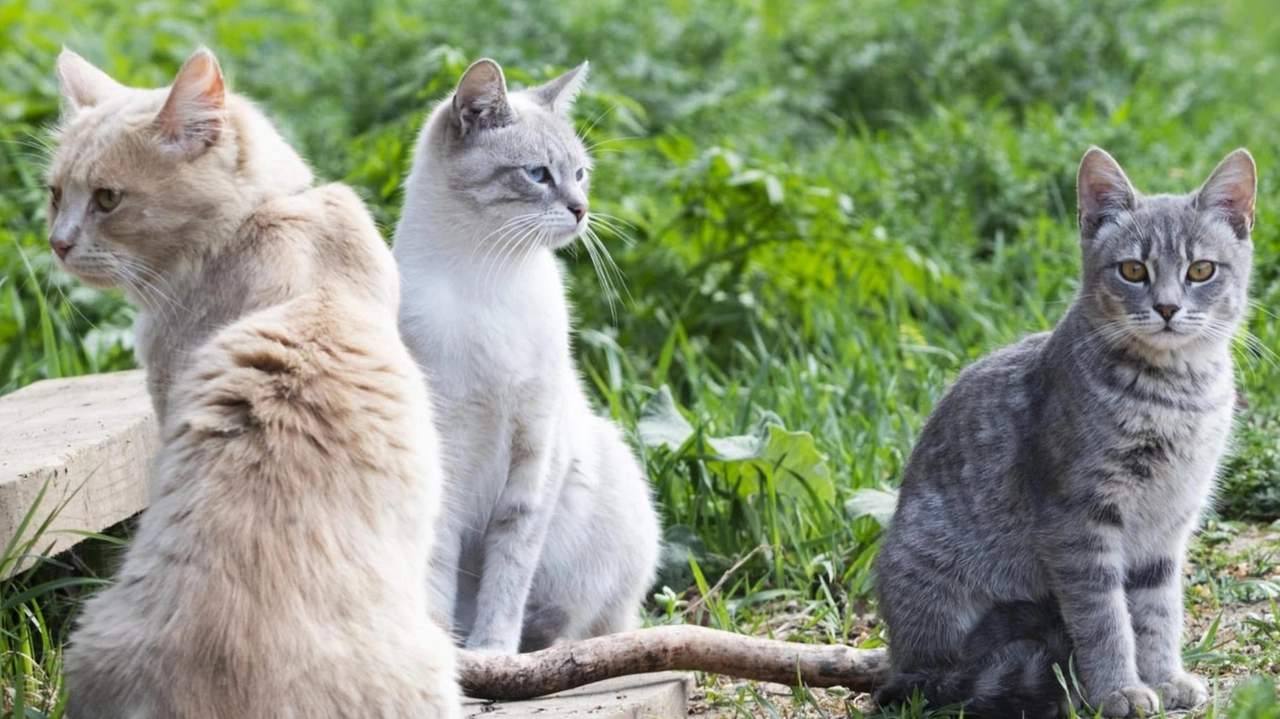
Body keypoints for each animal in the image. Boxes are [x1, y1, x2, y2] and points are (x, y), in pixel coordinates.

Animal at [391, 57, 660, 649]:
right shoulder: (446, 450)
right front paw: (453, 652)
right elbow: (440, 567)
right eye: (538, 175)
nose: (582, 210)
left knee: (590, 625)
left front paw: (493, 651)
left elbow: (509, 572)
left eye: (579, 174)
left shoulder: (535, 453)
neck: (494, 280)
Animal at [875, 147, 1254, 716]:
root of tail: (901, 663)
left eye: (1201, 269)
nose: (1167, 307)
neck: (1173, 396)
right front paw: (1119, 689)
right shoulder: (1078, 522)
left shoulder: (1168, 525)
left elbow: (1158, 611)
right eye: (1133, 270)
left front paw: (1165, 677)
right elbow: (1105, 620)